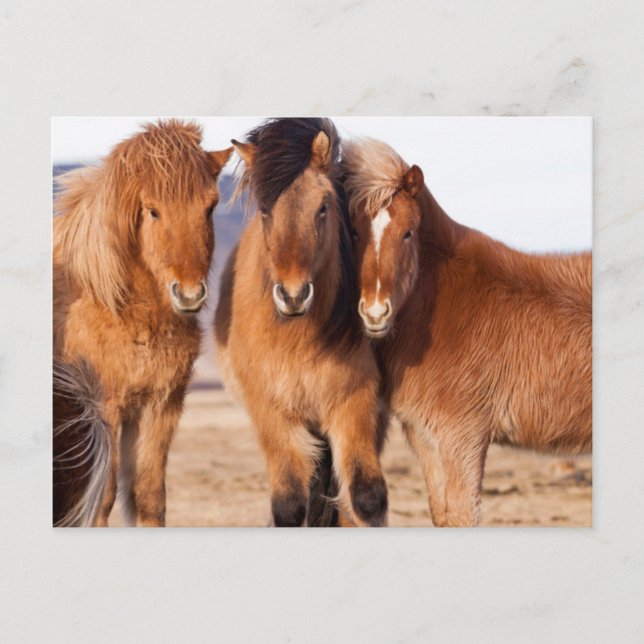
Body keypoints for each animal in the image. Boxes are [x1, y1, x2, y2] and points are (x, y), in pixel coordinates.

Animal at [53, 120, 232, 526]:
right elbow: (102, 496)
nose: (189, 294)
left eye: (210, 207)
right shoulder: (104, 406)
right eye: (152, 211)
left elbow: (149, 497)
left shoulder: (160, 405)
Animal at [214, 118, 388, 527]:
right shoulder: (272, 412)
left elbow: (367, 496)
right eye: (265, 210)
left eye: (323, 207)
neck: (297, 339)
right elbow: (289, 504)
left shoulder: (355, 401)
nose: (293, 296)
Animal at [341, 137, 592, 527]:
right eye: (354, 231)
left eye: (407, 232)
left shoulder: (464, 439)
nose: (375, 312)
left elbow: (462, 514)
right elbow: (442, 513)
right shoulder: (426, 438)